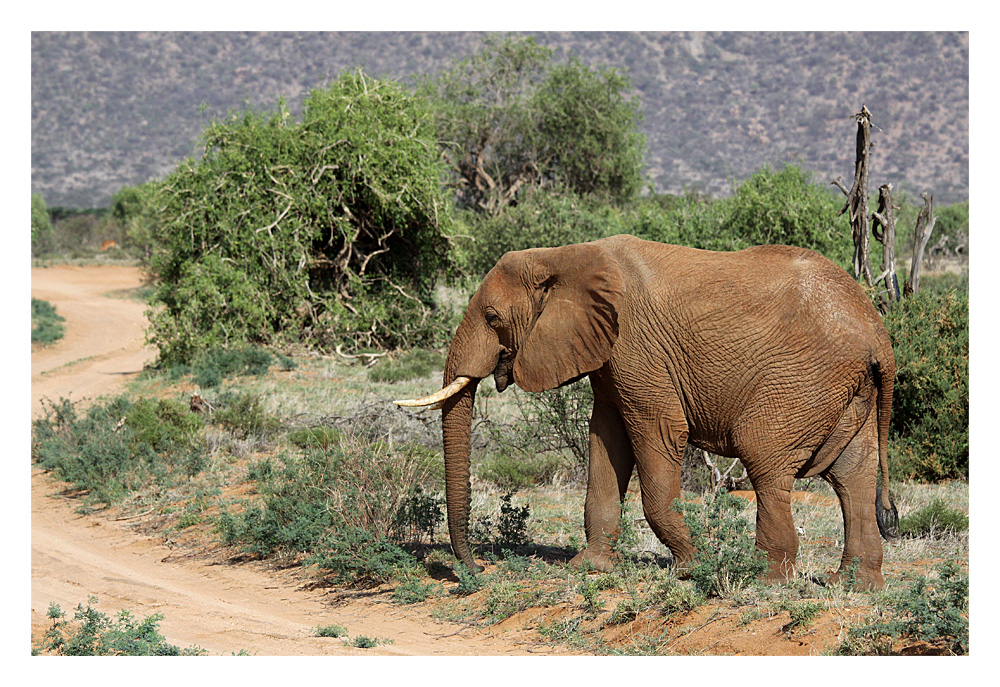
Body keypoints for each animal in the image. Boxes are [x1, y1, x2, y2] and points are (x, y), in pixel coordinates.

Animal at [396, 235, 900, 592]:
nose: (478, 570)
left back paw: (764, 581)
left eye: (493, 317)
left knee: (768, 465)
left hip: (800, 382)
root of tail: (877, 330)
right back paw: (853, 587)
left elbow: (656, 435)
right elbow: (606, 442)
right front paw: (589, 569)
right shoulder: (606, 355)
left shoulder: (636, 349)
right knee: (852, 476)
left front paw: (691, 568)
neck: (565, 256)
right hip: (848, 390)